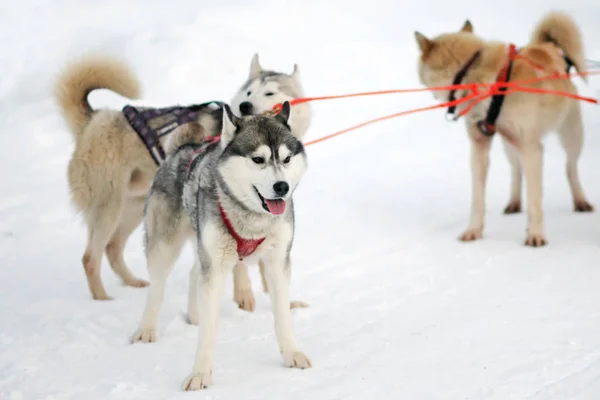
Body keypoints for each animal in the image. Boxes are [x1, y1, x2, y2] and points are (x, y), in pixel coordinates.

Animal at [131, 101, 310, 390]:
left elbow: (282, 315)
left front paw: (292, 354)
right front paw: (200, 373)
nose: (281, 187)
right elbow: (208, 331)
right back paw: (146, 329)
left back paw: (194, 315)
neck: (251, 219)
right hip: (164, 246)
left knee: (194, 272)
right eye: (258, 159)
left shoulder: (277, 262)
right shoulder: (215, 268)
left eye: (286, 159)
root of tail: (182, 148)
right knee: (157, 289)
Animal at [414, 11, 592, 247]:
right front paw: (473, 230)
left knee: (570, 167)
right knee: (516, 170)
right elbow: (478, 197)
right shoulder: (480, 146)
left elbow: (535, 199)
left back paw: (580, 200)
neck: (474, 75)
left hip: (571, 134)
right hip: (510, 144)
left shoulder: (532, 148)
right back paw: (514, 202)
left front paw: (535, 235)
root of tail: (547, 47)